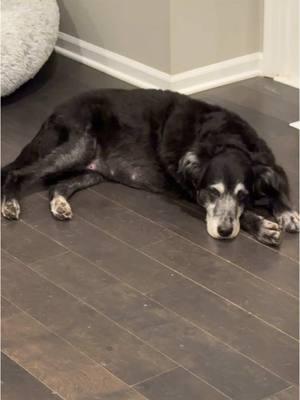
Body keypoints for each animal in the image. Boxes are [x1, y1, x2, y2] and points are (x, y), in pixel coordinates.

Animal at [1, 89, 298, 245]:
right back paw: (10, 204)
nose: (224, 232)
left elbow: (276, 190)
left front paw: (287, 213)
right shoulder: (193, 192)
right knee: (15, 172)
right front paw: (261, 225)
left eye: (243, 195)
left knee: (56, 187)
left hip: (92, 170)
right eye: (212, 192)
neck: (227, 140)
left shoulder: (269, 165)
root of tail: (54, 112)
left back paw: (60, 205)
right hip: (78, 146)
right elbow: (240, 215)